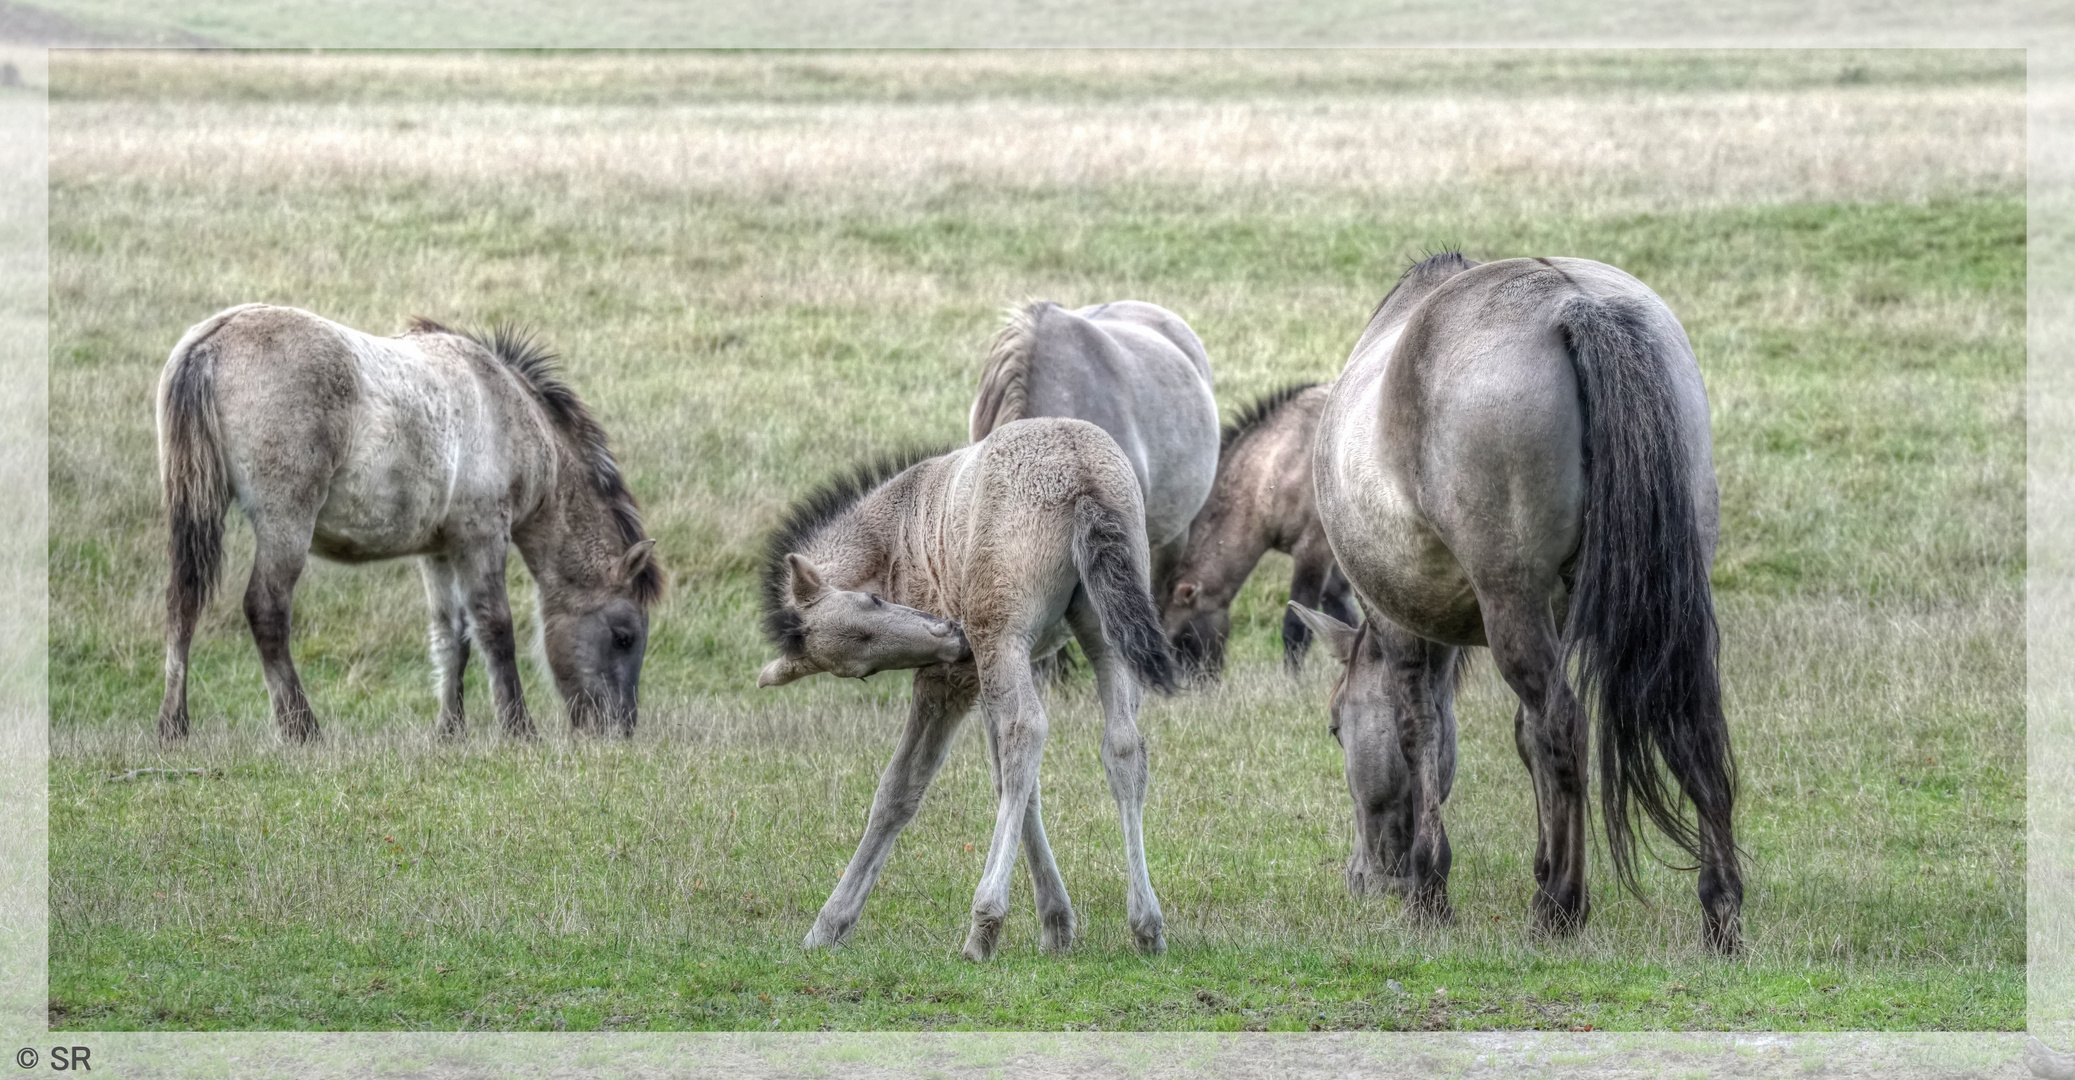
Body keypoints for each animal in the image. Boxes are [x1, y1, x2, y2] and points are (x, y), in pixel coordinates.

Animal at [157, 303, 659, 743]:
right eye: (623, 637)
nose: (620, 730)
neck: (507, 409)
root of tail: (212, 342)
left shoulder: (440, 551)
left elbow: (453, 636)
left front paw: (450, 732)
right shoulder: (482, 538)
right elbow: (496, 629)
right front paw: (519, 730)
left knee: (182, 604)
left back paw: (173, 726)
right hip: (286, 524)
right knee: (267, 610)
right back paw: (302, 729)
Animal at [763, 417, 1186, 959]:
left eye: (872, 600)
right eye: (861, 671)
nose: (953, 637)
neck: (899, 522)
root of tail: (1081, 472)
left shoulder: (952, 679)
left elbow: (900, 789)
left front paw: (829, 924)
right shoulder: (991, 673)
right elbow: (1015, 787)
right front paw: (1057, 924)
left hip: (997, 636)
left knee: (1027, 729)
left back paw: (983, 924)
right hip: (1103, 637)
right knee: (1123, 746)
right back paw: (1147, 925)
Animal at [1170, 384, 1361, 681]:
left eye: (1183, 638)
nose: (1194, 684)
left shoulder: (1313, 552)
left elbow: (1296, 625)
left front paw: (1292, 681)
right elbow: (1342, 610)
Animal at [1303, 255, 1743, 955]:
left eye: (1336, 727)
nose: (1366, 877)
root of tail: (1574, 303)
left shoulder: (1401, 627)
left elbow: (1422, 731)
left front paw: (1430, 890)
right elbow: (1525, 736)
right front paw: (1538, 862)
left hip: (1511, 599)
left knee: (1566, 722)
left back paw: (1561, 906)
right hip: (1667, 604)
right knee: (1687, 721)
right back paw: (1719, 909)